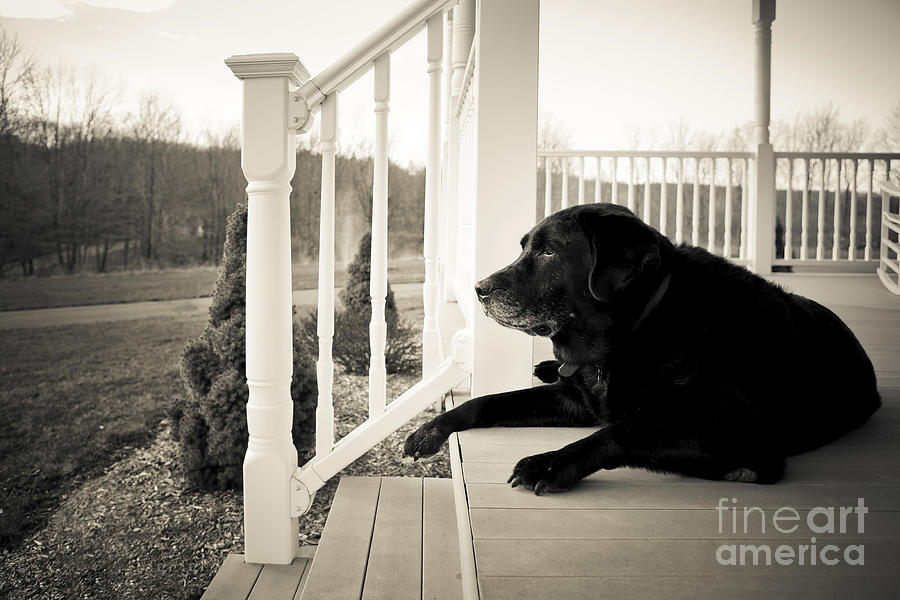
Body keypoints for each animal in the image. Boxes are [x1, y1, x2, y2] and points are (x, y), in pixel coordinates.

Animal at [404, 204, 884, 494]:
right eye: (525, 248)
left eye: (548, 252)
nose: (479, 289)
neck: (634, 332)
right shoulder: (575, 400)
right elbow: (487, 401)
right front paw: (431, 429)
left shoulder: (740, 436)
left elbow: (623, 431)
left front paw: (550, 463)